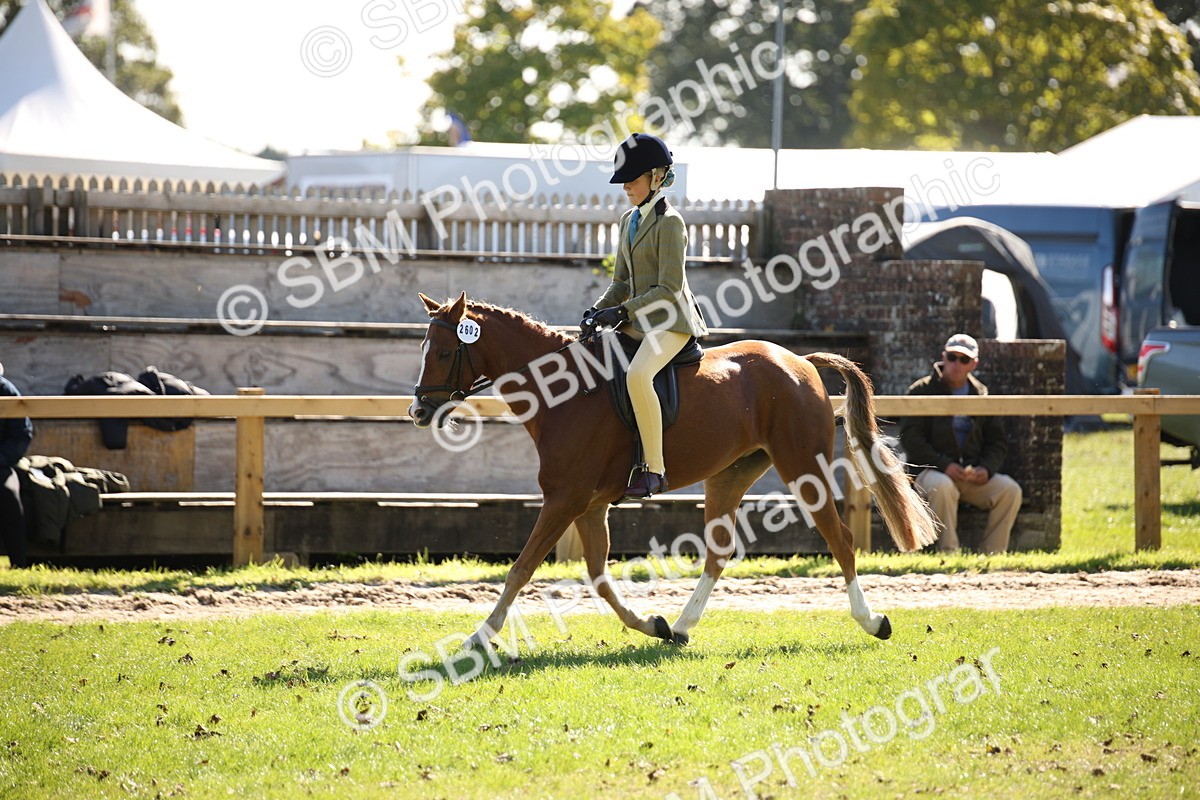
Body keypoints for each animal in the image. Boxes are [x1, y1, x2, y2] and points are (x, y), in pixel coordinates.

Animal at [409, 292, 939, 649]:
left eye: (444, 352)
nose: (418, 411)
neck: (565, 391)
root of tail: (799, 361)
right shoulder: (588, 504)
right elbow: (598, 576)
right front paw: (652, 624)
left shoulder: (565, 499)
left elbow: (521, 568)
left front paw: (479, 637)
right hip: (729, 476)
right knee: (718, 552)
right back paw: (681, 626)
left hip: (803, 467)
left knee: (840, 540)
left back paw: (873, 621)